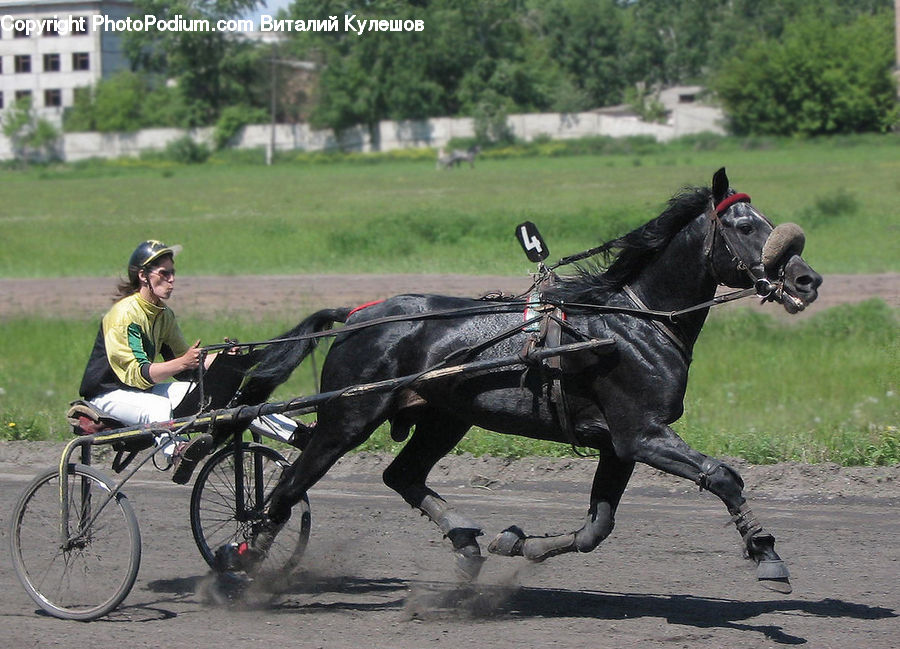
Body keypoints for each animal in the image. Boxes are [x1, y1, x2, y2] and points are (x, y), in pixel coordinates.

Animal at [240, 168, 821, 593]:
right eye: (745, 226)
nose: (807, 279)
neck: (633, 322)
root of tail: (358, 315)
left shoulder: (619, 444)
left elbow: (596, 528)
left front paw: (521, 543)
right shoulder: (642, 433)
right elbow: (723, 477)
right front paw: (767, 554)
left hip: (443, 418)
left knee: (400, 475)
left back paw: (466, 543)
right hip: (349, 418)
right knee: (289, 489)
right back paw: (239, 564)